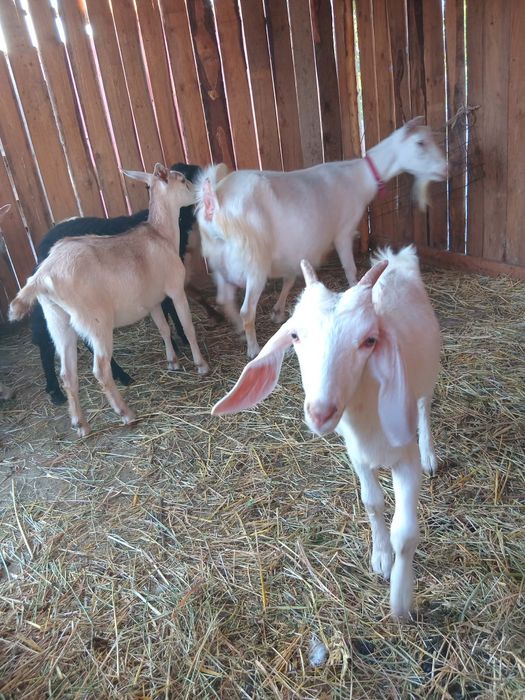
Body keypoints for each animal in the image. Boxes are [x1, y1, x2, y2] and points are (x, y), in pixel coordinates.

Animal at [9, 164, 209, 437]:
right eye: (183, 180)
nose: (200, 192)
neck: (161, 234)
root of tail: (43, 275)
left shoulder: (152, 301)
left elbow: (164, 329)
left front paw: (173, 362)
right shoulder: (175, 290)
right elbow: (187, 327)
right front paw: (201, 365)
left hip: (57, 320)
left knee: (68, 372)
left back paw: (80, 424)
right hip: (95, 321)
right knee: (99, 369)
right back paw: (126, 413)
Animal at [196, 117, 447, 358]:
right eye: (420, 143)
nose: (445, 168)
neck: (359, 177)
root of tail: (214, 202)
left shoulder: (295, 249)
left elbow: (290, 278)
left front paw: (278, 311)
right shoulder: (343, 232)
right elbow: (349, 268)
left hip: (219, 263)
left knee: (225, 300)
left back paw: (239, 331)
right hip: (254, 263)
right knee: (246, 310)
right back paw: (253, 348)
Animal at [212, 246, 441, 618]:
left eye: (370, 340)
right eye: (294, 335)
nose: (320, 413)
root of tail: (398, 260)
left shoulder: (404, 457)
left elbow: (405, 533)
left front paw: (400, 600)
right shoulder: (356, 453)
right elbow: (372, 502)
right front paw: (381, 558)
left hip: (428, 375)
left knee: (424, 407)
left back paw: (431, 454)